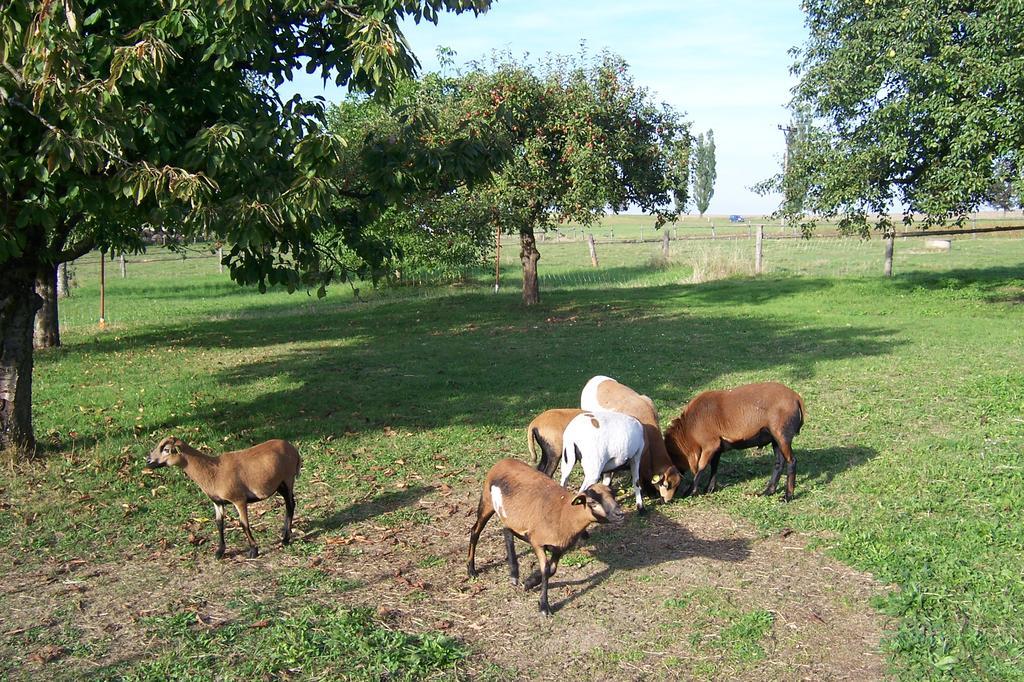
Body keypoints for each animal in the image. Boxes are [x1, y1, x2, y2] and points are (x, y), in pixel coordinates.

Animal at [146, 436, 301, 557]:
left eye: (166, 450)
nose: (148, 461)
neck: (212, 471)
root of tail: (293, 449)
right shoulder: (217, 502)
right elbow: (219, 524)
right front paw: (220, 551)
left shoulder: (239, 499)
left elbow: (244, 524)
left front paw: (253, 550)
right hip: (278, 484)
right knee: (290, 504)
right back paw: (285, 535)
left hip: (287, 479)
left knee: (290, 505)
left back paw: (285, 539)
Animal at [466, 456, 622, 614]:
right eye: (592, 502)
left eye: (613, 496)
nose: (619, 514)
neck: (565, 514)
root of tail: (503, 461)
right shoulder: (537, 542)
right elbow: (545, 570)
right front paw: (544, 606)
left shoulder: (560, 548)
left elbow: (552, 570)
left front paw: (529, 582)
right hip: (487, 501)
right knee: (475, 531)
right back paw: (471, 570)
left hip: (510, 515)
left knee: (506, 530)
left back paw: (514, 574)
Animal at [663, 382, 806, 499]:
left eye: (672, 455)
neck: (689, 428)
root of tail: (796, 398)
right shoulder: (717, 447)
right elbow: (714, 466)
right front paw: (709, 489)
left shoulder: (710, 445)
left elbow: (701, 467)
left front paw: (689, 492)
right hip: (775, 439)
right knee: (779, 464)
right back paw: (767, 492)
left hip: (782, 435)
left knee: (792, 461)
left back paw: (788, 496)